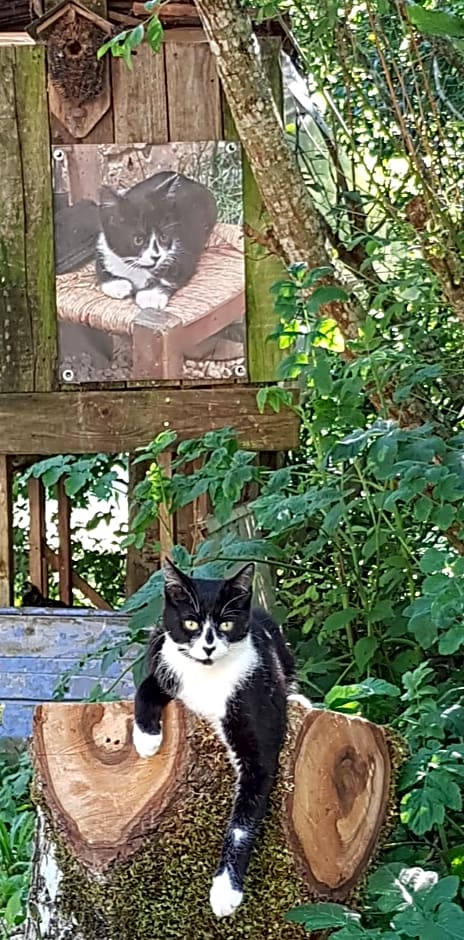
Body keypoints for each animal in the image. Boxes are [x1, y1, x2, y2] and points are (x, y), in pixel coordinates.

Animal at [95, 172, 218, 312]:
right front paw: (117, 284)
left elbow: (174, 275)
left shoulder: (185, 250)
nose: (156, 257)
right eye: (138, 240)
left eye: (163, 237)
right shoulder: (102, 244)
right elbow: (100, 265)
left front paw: (151, 295)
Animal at [133, 560, 308, 920]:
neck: (208, 677)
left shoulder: (257, 728)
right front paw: (146, 738)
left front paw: (225, 891)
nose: (209, 646)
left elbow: (243, 820)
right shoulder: (168, 666)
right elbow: (148, 685)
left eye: (226, 623)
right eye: (190, 622)